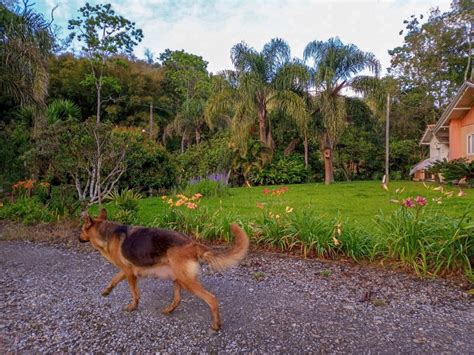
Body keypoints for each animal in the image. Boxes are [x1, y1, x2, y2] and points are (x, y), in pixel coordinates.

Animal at [78, 209, 248, 330]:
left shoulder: (129, 273)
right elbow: (114, 279)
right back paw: (169, 310)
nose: (78, 238)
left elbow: (134, 293)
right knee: (178, 299)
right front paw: (107, 291)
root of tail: (192, 243)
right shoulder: (127, 270)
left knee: (211, 299)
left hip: (186, 281)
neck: (106, 233)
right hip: (177, 277)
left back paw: (216, 324)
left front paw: (133, 306)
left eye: (81, 229)